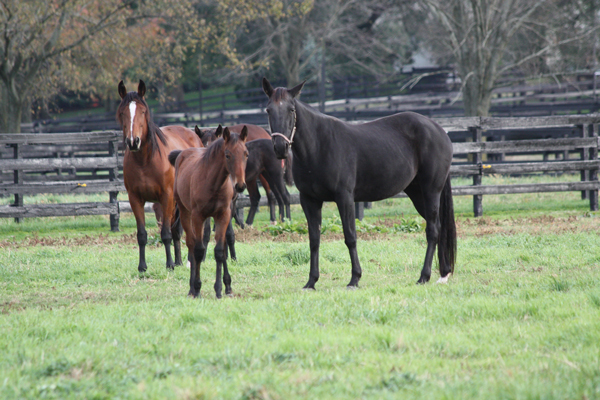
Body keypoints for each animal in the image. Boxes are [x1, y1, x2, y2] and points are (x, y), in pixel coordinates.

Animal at [116, 79, 205, 272]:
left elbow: (165, 233)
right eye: (122, 112)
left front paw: (169, 264)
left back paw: (187, 261)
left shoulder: (166, 197)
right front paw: (142, 267)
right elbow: (142, 234)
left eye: (143, 111)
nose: (133, 142)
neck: (145, 161)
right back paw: (179, 261)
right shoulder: (135, 199)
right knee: (176, 230)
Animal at [168, 126, 247, 298]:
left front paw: (221, 289)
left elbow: (220, 251)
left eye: (246, 154)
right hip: (185, 212)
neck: (213, 183)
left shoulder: (223, 215)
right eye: (227, 154)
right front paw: (197, 288)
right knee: (191, 244)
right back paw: (191, 288)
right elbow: (198, 250)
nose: (240, 185)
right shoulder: (198, 216)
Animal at [262, 77, 454, 288]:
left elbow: (350, 237)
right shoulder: (309, 200)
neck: (319, 146)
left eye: (291, 109)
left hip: (431, 191)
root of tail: (440, 130)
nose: (280, 148)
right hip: (417, 193)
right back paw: (444, 273)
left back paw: (424, 276)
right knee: (439, 228)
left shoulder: (344, 198)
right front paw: (311, 282)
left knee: (433, 230)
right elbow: (314, 240)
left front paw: (354, 278)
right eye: (268, 110)